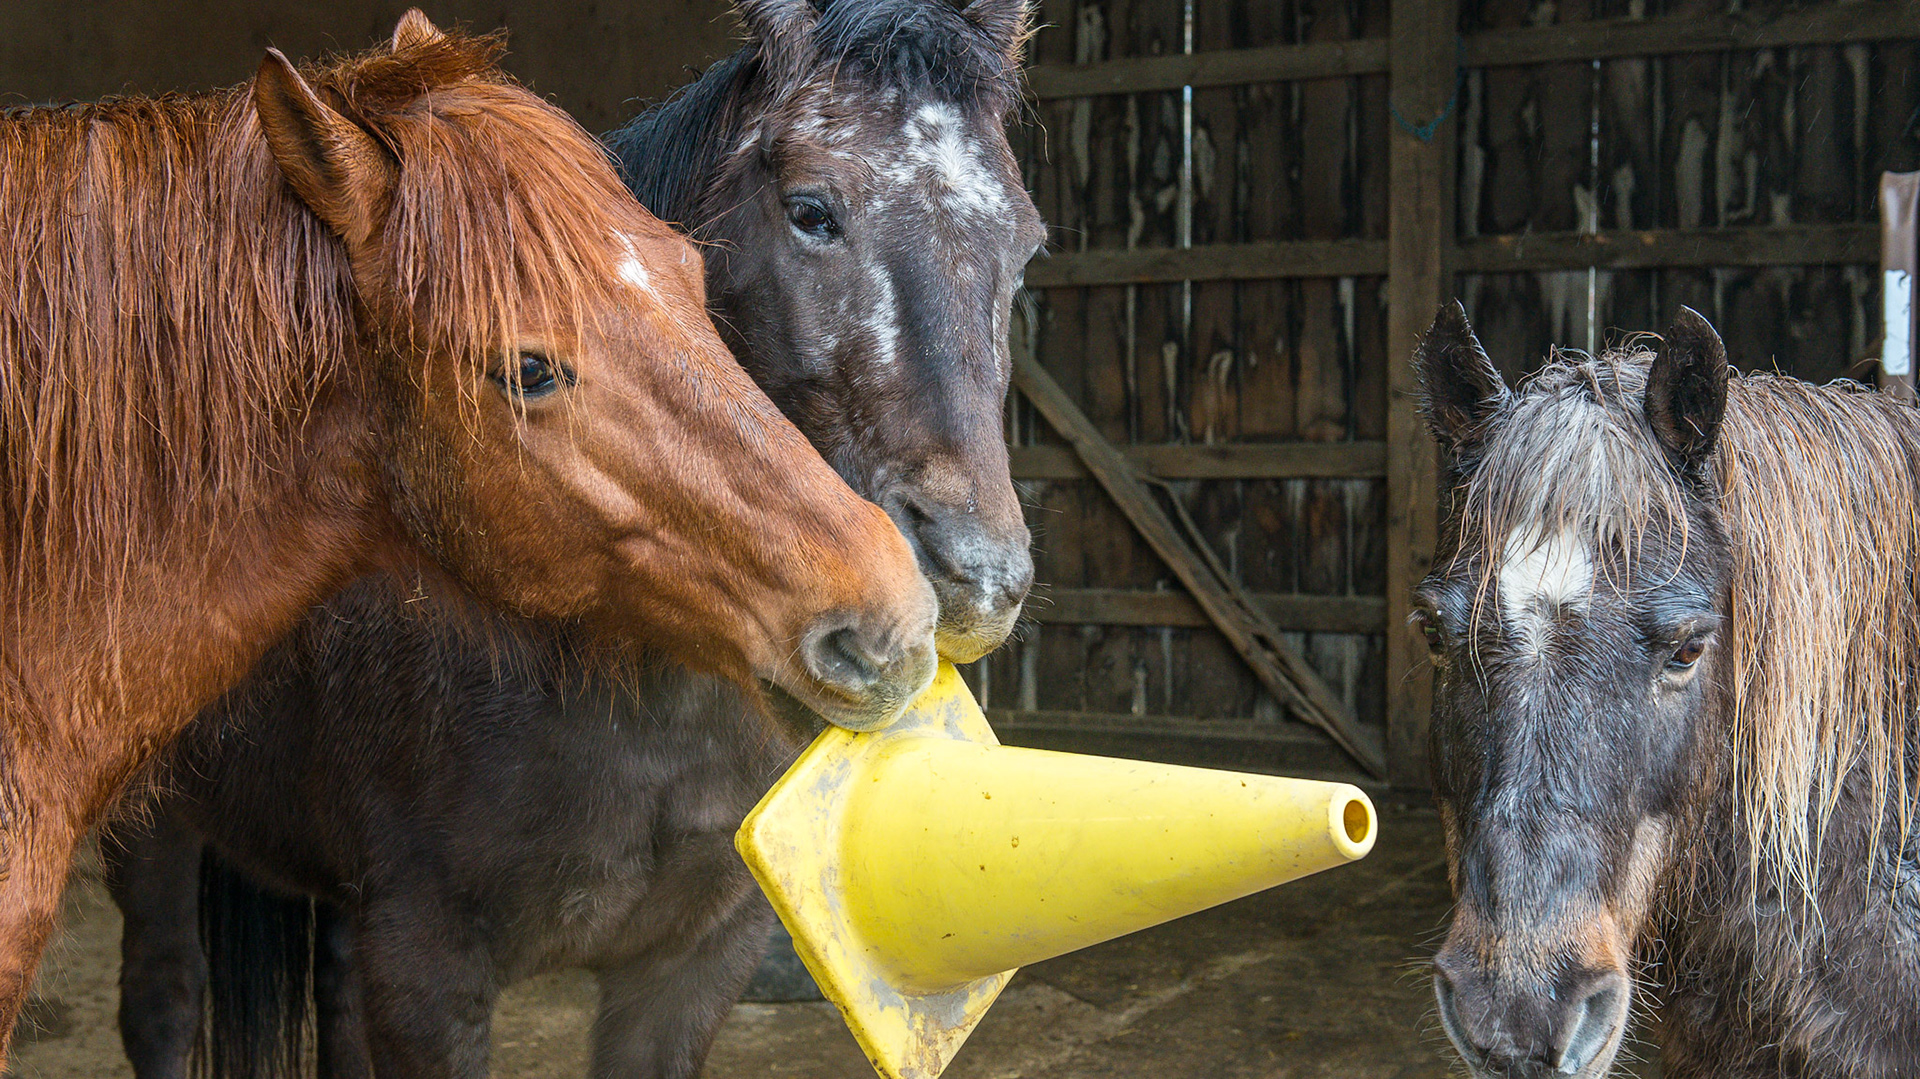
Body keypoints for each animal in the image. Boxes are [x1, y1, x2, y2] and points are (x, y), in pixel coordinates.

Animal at [104, 1, 1042, 1077]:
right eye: (813, 211)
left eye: (1026, 245)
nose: (974, 575)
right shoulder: (426, 967)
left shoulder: (694, 961)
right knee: (163, 1001)